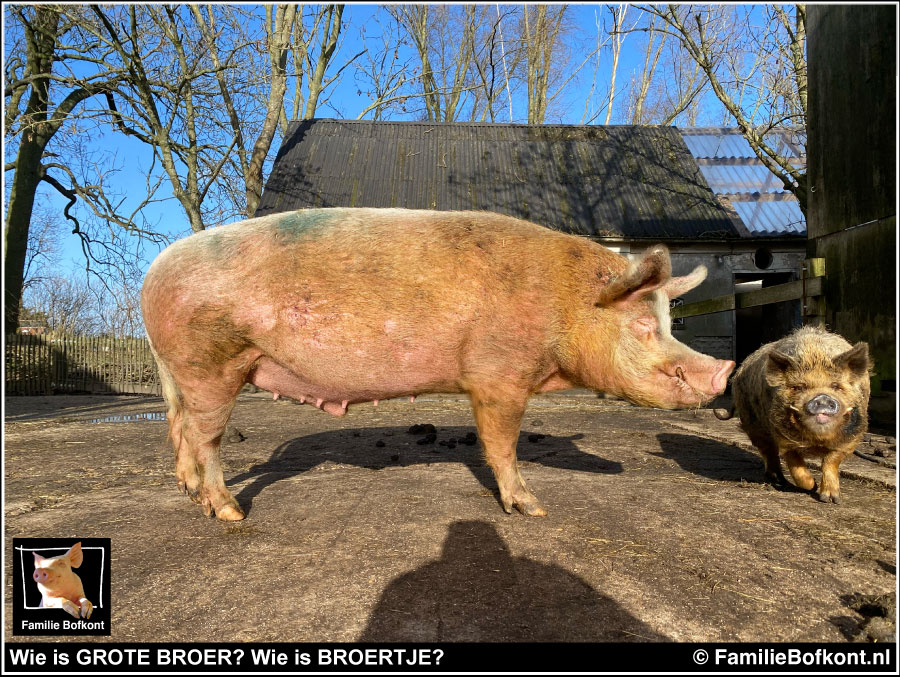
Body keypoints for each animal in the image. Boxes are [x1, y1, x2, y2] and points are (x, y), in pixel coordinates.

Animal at [139, 206, 732, 516]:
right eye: (643, 326)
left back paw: (188, 492)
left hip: (183, 372)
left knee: (178, 426)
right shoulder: (497, 375)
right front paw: (533, 509)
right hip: (209, 362)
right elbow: (502, 444)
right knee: (206, 435)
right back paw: (229, 511)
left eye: (671, 323)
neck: (563, 305)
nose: (722, 372)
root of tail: (152, 273)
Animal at [728, 328, 868, 502]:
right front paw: (812, 486)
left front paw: (831, 499)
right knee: (768, 451)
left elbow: (831, 461)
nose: (822, 397)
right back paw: (779, 481)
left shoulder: (850, 438)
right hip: (753, 426)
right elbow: (795, 463)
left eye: (836, 386)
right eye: (799, 387)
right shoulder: (783, 437)